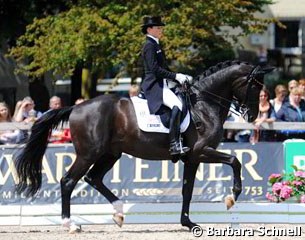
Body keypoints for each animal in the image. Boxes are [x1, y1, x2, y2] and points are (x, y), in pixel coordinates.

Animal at [15, 61, 270, 233]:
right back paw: (71, 225)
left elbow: (187, 190)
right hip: (88, 153)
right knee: (68, 181)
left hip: (111, 153)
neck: (204, 105)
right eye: (255, 86)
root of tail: (75, 107)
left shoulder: (192, 158)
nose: (252, 116)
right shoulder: (201, 152)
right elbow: (235, 161)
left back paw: (119, 213)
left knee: (93, 178)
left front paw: (188, 223)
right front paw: (232, 197)